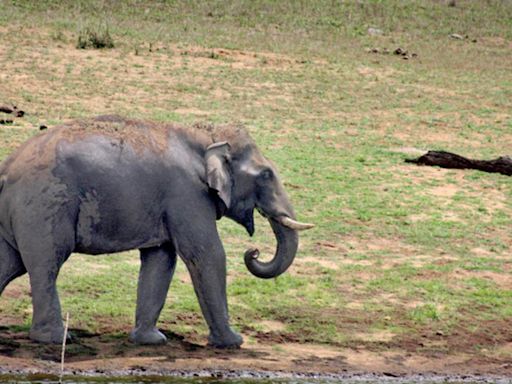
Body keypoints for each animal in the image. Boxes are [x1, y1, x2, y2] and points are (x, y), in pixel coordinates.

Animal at [0, 115, 312, 350]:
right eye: (266, 175)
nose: (253, 252)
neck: (204, 136)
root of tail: (6, 168)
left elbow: (161, 259)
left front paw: (150, 340)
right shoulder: (187, 193)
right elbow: (207, 254)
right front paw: (233, 342)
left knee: (11, 262)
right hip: (44, 205)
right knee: (46, 264)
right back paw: (55, 338)